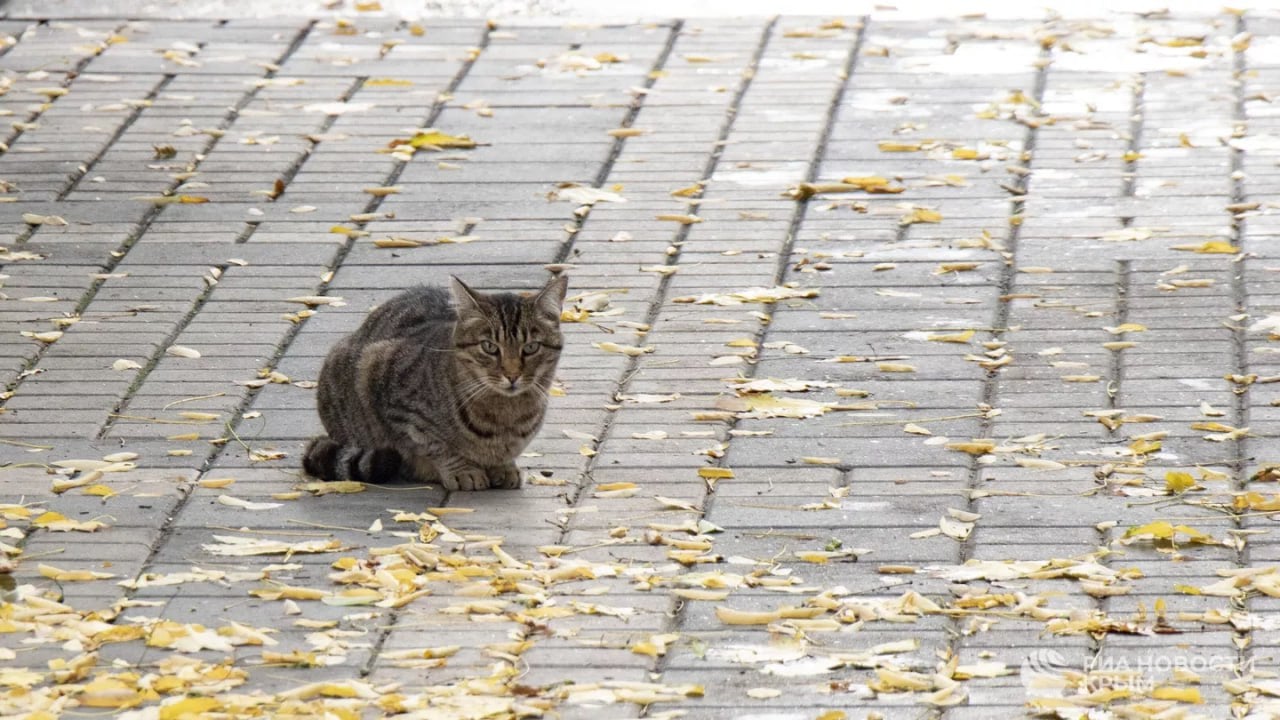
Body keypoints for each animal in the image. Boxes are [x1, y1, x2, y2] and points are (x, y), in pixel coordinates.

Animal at [302, 272, 568, 486]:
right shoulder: (384, 378)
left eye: (531, 347)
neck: (506, 414)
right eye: (489, 347)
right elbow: (435, 445)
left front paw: (503, 467)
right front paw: (462, 470)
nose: (512, 375)